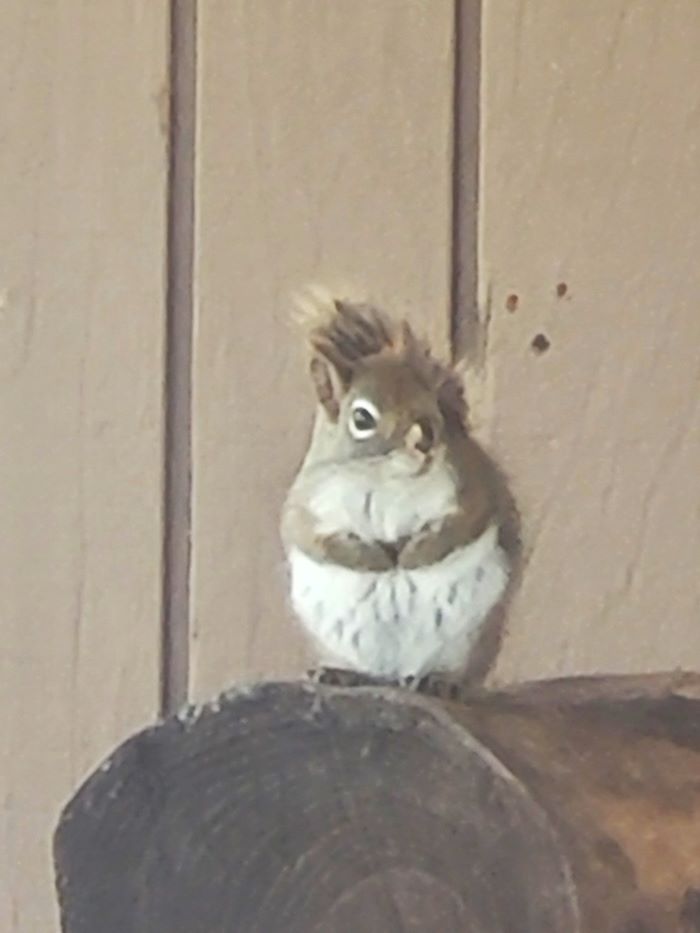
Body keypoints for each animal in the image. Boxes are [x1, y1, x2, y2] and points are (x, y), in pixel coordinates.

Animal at [280, 289, 515, 687]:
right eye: (361, 417)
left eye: (433, 405)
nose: (427, 441)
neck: (382, 477)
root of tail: (393, 675)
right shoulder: (305, 502)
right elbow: (309, 536)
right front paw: (373, 559)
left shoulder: (471, 484)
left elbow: (465, 523)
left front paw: (413, 554)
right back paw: (339, 673)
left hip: (470, 637)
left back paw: (439, 681)